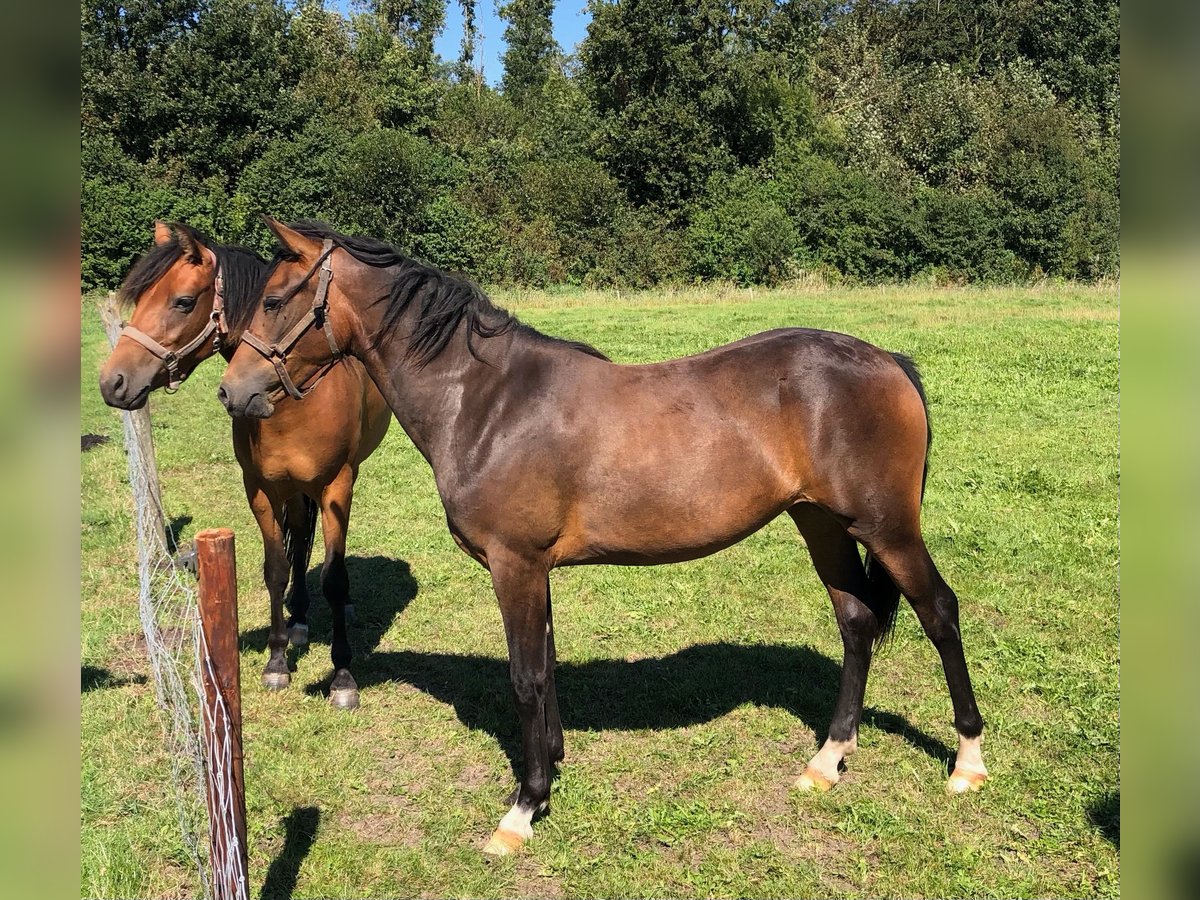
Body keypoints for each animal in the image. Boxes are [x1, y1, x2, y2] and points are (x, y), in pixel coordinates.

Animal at [99, 222, 388, 710]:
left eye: (182, 301)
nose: (112, 382)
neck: (288, 402)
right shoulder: (261, 489)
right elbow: (276, 568)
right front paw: (276, 662)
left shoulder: (335, 486)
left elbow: (335, 577)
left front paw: (343, 676)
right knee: (299, 545)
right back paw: (299, 618)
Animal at [220, 218, 988, 859]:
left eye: (277, 299)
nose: (232, 393)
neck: (488, 401)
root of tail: (886, 360)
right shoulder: (536, 570)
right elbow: (546, 666)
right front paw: (552, 768)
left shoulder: (514, 565)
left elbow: (525, 677)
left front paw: (522, 810)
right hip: (821, 523)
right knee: (857, 621)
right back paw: (827, 761)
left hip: (886, 528)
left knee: (940, 613)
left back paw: (967, 761)